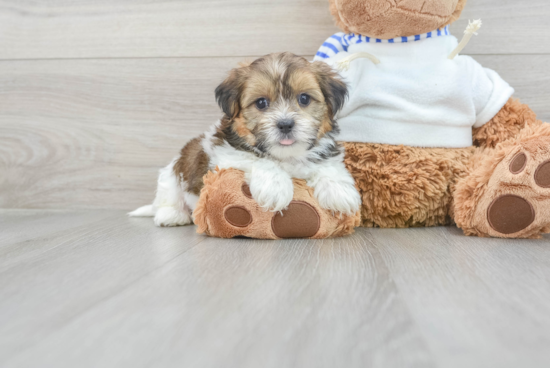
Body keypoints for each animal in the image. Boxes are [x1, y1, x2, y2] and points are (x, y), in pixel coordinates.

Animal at [129, 52, 362, 227]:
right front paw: (275, 187)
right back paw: (173, 216)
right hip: (172, 174)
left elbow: (328, 166)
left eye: (304, 98)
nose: (285, 124)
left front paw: (339, 191)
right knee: (168, 195)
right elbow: (259, 159)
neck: (286, 157)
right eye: (261, 103)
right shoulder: (226, 154)